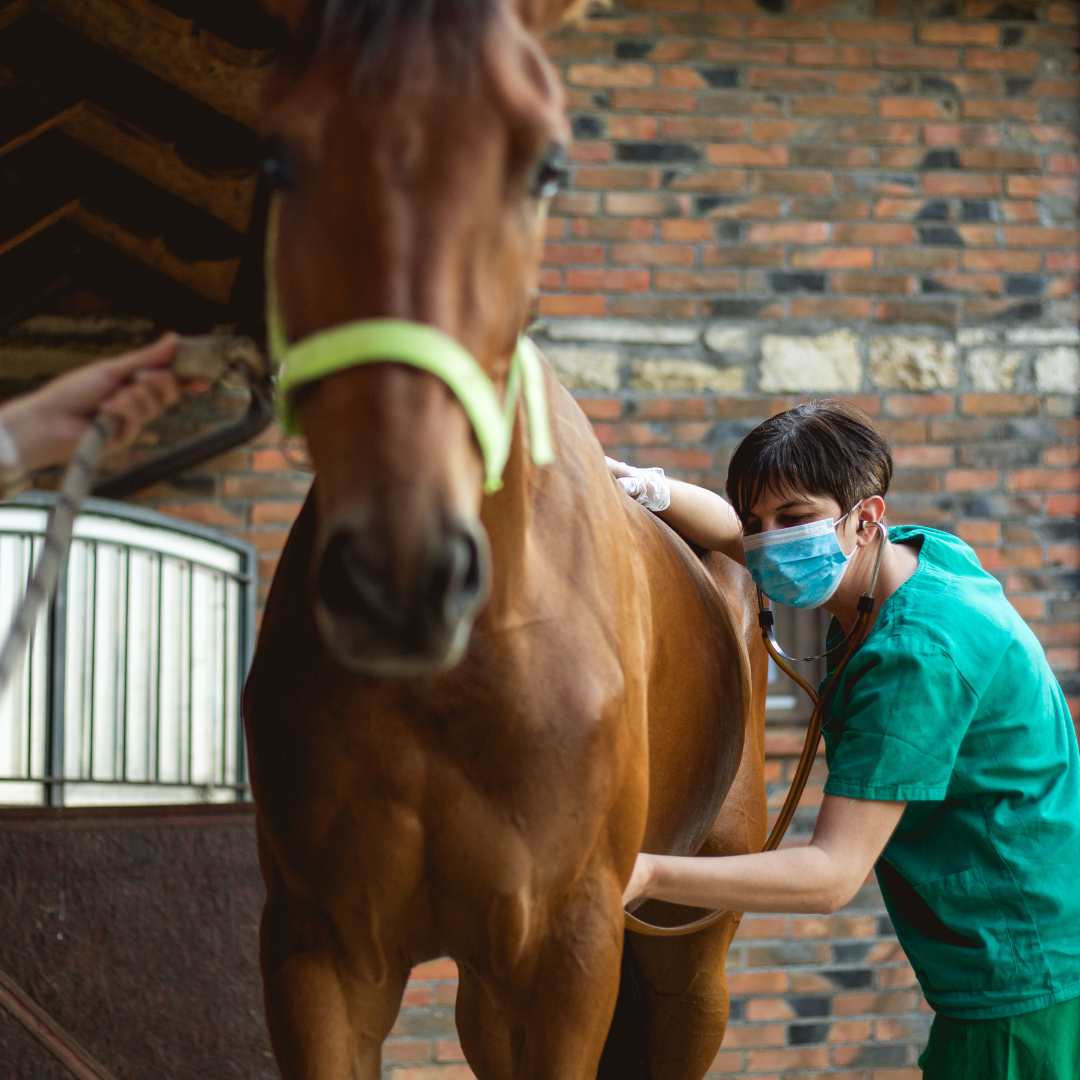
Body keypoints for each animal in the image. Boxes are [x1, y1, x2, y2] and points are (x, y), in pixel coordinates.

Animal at [242, 0, 769, 1076]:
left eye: (548, 165)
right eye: (277, 153)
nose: (401, 580)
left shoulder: (569, 959)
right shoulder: (321, 955)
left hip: (689, 957)